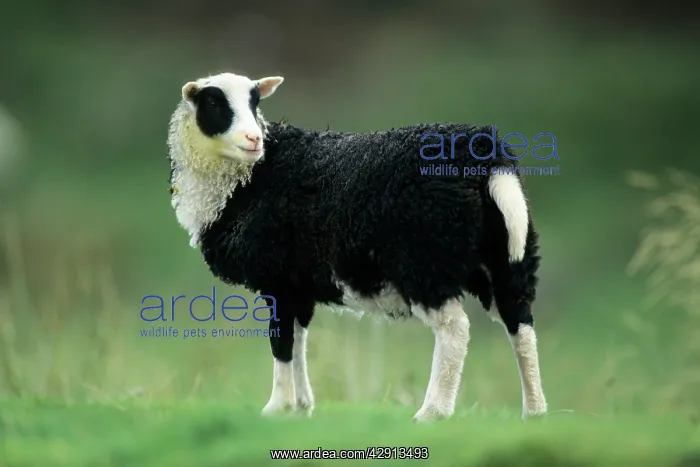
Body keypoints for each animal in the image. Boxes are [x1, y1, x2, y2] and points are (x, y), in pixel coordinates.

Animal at [167, 72, 547, 422]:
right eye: (213, 103)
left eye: (254, 102)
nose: (253, 138)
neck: (246, 180)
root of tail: (486, 157)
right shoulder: (297, 282)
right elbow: (298, 338)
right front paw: (302, 406)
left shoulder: (277, 277)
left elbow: (281, 341)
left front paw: (277, 408)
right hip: (507, 257)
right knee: (520, 323)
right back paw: (534, 412)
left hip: (425, 261)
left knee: (455, 328)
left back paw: (432, 412)